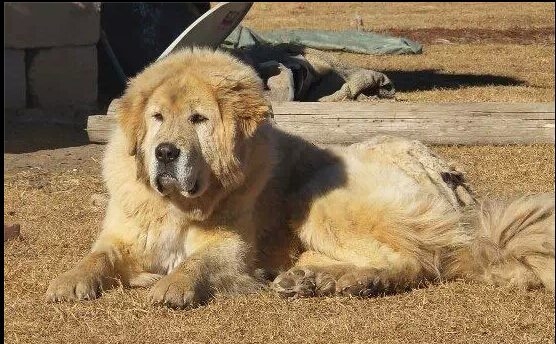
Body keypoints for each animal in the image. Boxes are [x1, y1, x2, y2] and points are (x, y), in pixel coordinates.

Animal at [45, 47, 552, 306]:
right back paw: (310, 279)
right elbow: (96, 257)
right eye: (155, 118)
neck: (178, 204)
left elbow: (197, 262)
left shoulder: (230, 247)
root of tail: (437, 165)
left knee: (417, 263)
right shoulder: (123, 236)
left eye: (198, 119)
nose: (165, 153)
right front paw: (69, 280)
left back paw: (354, 282)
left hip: (318, 196)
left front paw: (172, 285)